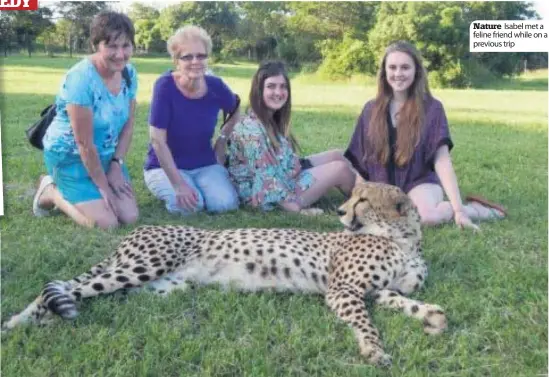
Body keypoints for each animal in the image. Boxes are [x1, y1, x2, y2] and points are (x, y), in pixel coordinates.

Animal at [3, 181, 446, 364]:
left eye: (363, 200)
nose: (339, 211)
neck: (404, 239)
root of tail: (139, 231)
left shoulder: (376, 291)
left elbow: (404, 301)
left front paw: (431, 315)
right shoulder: (343, 290)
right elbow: (367, 323)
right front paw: (373, 349)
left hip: (155, 286)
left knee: (70, 290)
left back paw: (34, 320)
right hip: (141, 267)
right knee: (70, 288)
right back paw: (19, 323)